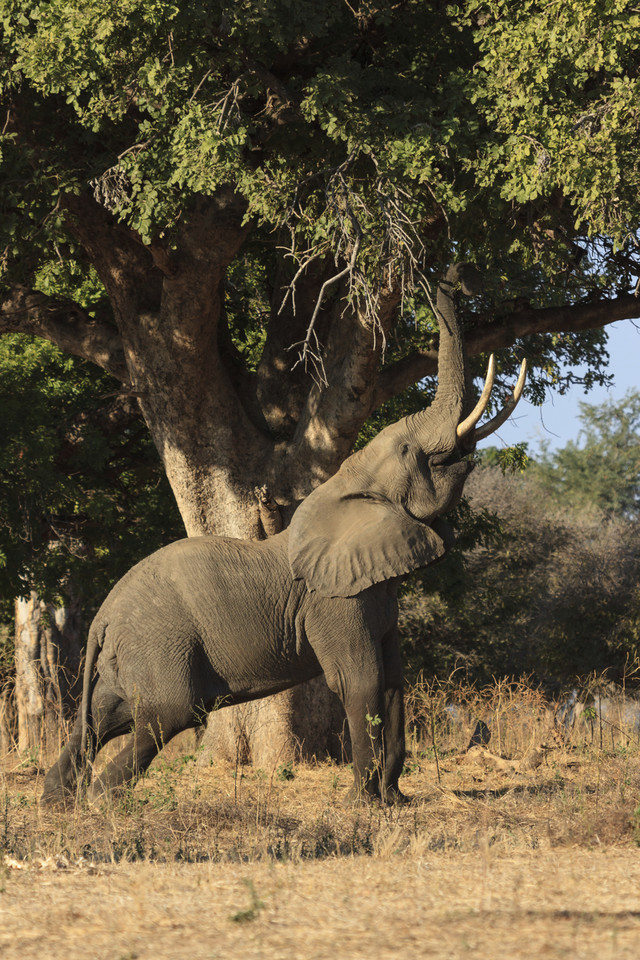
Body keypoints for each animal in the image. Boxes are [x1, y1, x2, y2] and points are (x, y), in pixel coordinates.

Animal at [42, 260, 528, 804]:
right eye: (408, 452)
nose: (456, 274)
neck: (345, 485)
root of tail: (101, 619)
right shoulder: (333, 600)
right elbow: (360, 682)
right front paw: (364, 805)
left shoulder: (373, 591)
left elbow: (394, 683)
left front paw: (395, 802)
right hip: (159, 643)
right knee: (163, 716)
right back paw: (99, 802)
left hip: (129, 655)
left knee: (101, 719)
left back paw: (57, 802)